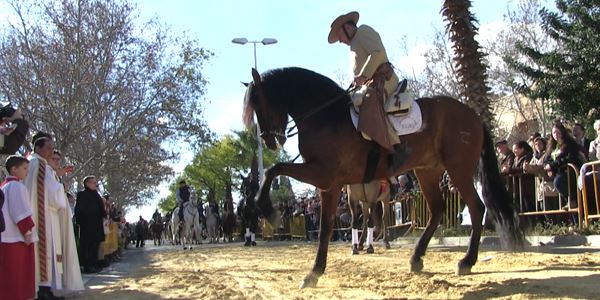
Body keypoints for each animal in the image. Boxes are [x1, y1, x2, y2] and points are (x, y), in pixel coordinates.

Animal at [241, 67, 524, 288]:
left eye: (260, 104)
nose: (268, 140)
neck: (327, 117)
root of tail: (472, 115)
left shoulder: (323, 176)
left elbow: (274, 170)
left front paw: (268, 210)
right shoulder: (330, 185)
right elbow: (326, 227)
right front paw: (315, 271)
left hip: (459, 169)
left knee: (476, 208)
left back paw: (466, 261)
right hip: (427, 171)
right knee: (437, 209)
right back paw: (417, 258)